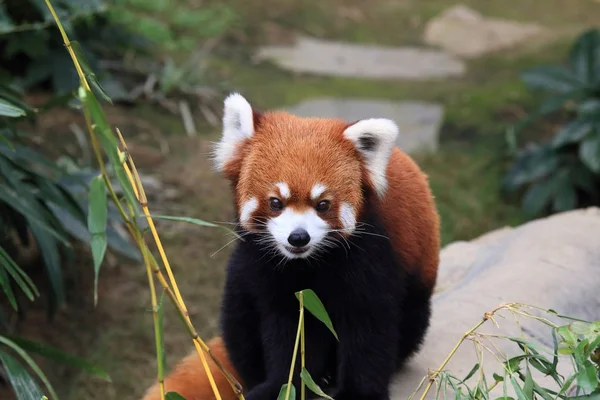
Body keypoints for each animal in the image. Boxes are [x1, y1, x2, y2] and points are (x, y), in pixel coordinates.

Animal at [141, 93, 440, 400]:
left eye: (323, 204)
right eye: (276, 202)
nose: (298, 237)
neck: (308, 262)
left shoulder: (371, 256)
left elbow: (368, 329)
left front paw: (359, 393)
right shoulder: (269, 269)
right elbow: (288, 330)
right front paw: (283, 386)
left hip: (418, 289)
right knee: (238, 321)